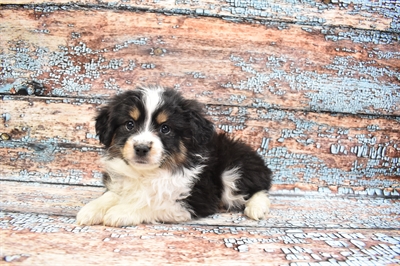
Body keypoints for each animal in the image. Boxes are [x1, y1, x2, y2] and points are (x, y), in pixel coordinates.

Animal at [76, 85, 272, 227]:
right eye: (129, 124)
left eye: (165, 128)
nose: (141, 148)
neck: (147, 173)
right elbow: (112, 194)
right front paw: (90, 209)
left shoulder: (195, 200)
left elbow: (153, 204)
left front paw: (121, 212)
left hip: (232, 172)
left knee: (259, 189)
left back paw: (256, 208)